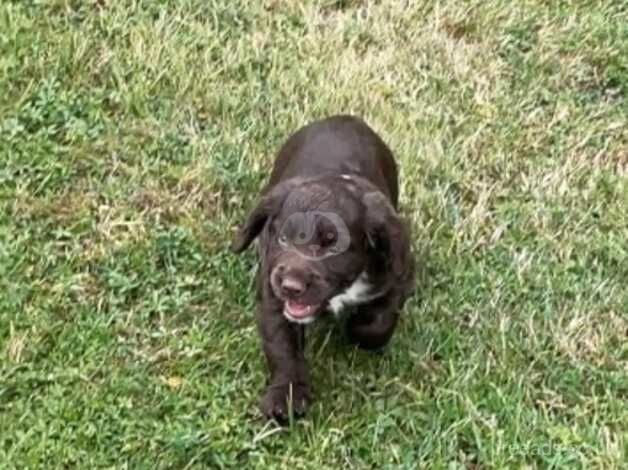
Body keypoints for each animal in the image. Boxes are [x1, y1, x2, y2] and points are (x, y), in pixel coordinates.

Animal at [229, 114, 412, 422]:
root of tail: (345, 118)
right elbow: (283, 347)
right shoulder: (273, 294)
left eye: (332, 245)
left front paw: (355, 327)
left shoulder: (397, 274)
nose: (291, 286)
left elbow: (378, 324)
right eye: (282, 239)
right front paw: (287, 396)